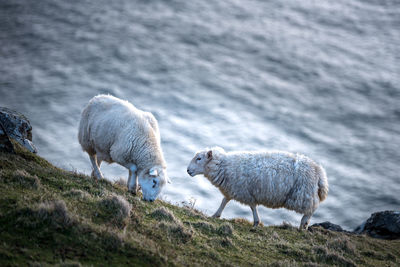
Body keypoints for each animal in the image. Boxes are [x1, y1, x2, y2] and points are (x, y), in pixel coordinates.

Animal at [188, 148, 328, 229]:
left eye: (199, 158)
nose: (188, 170)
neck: (224, 166)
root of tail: (319, 172)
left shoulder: (245, 192)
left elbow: (252, 206)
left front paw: (256, 222)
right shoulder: (233, 189)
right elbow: (224, 201)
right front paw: (215, 215)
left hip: (303, 196)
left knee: (311, 210)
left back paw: (303, 225)